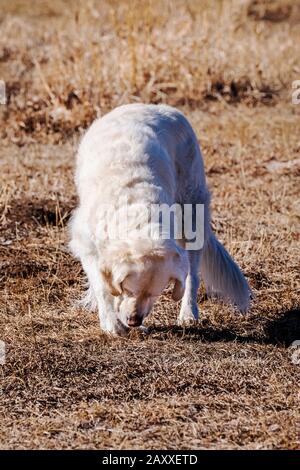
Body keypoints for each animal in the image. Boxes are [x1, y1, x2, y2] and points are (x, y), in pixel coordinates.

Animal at [70, 104, 251, 336]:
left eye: (155, 293)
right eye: (127, 288)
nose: (134, 321)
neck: (139, 214)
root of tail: (153, 106)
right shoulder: (85, 243)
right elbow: (103, 287)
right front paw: (112, 324)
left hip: (192, 214)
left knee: (192, 274)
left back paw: (189, 313)